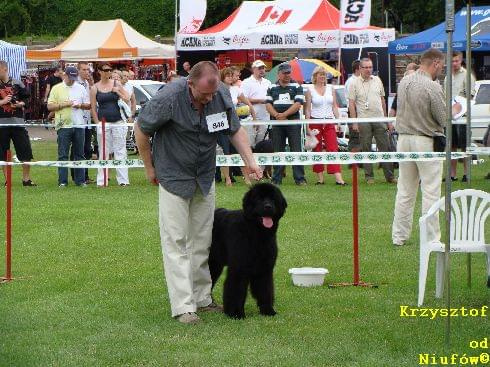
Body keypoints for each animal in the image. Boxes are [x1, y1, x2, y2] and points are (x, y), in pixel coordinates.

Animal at [208, 184, 286, 320]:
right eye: (259, 198)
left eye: (273, 199)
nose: (268, 207)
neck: (257, 233)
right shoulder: (239, 268)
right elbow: (236, 290)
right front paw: (236, 313)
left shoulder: (264, 268)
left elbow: (265, 290)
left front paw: (268, 311)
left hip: (215, 264)